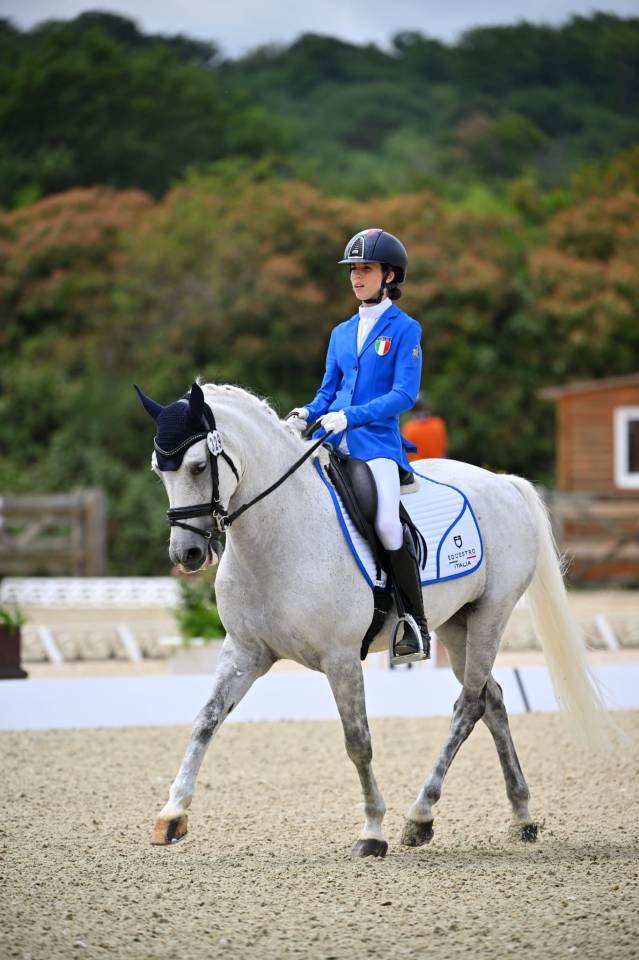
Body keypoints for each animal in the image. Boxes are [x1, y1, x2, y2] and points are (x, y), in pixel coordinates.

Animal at [137, 380, 607, 857]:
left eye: (198, 466)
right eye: (160, 471)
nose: (186, 554)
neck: (279, 534)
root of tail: (503, 482)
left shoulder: (340, 657)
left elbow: (358, 742)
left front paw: (372, 831)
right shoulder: (245, 651)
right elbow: (206, 720)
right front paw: (172, 814)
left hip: (492, 614)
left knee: (468, 705)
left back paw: (420, 815)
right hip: (457, 624)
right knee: (490, 699)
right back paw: (521, 815)